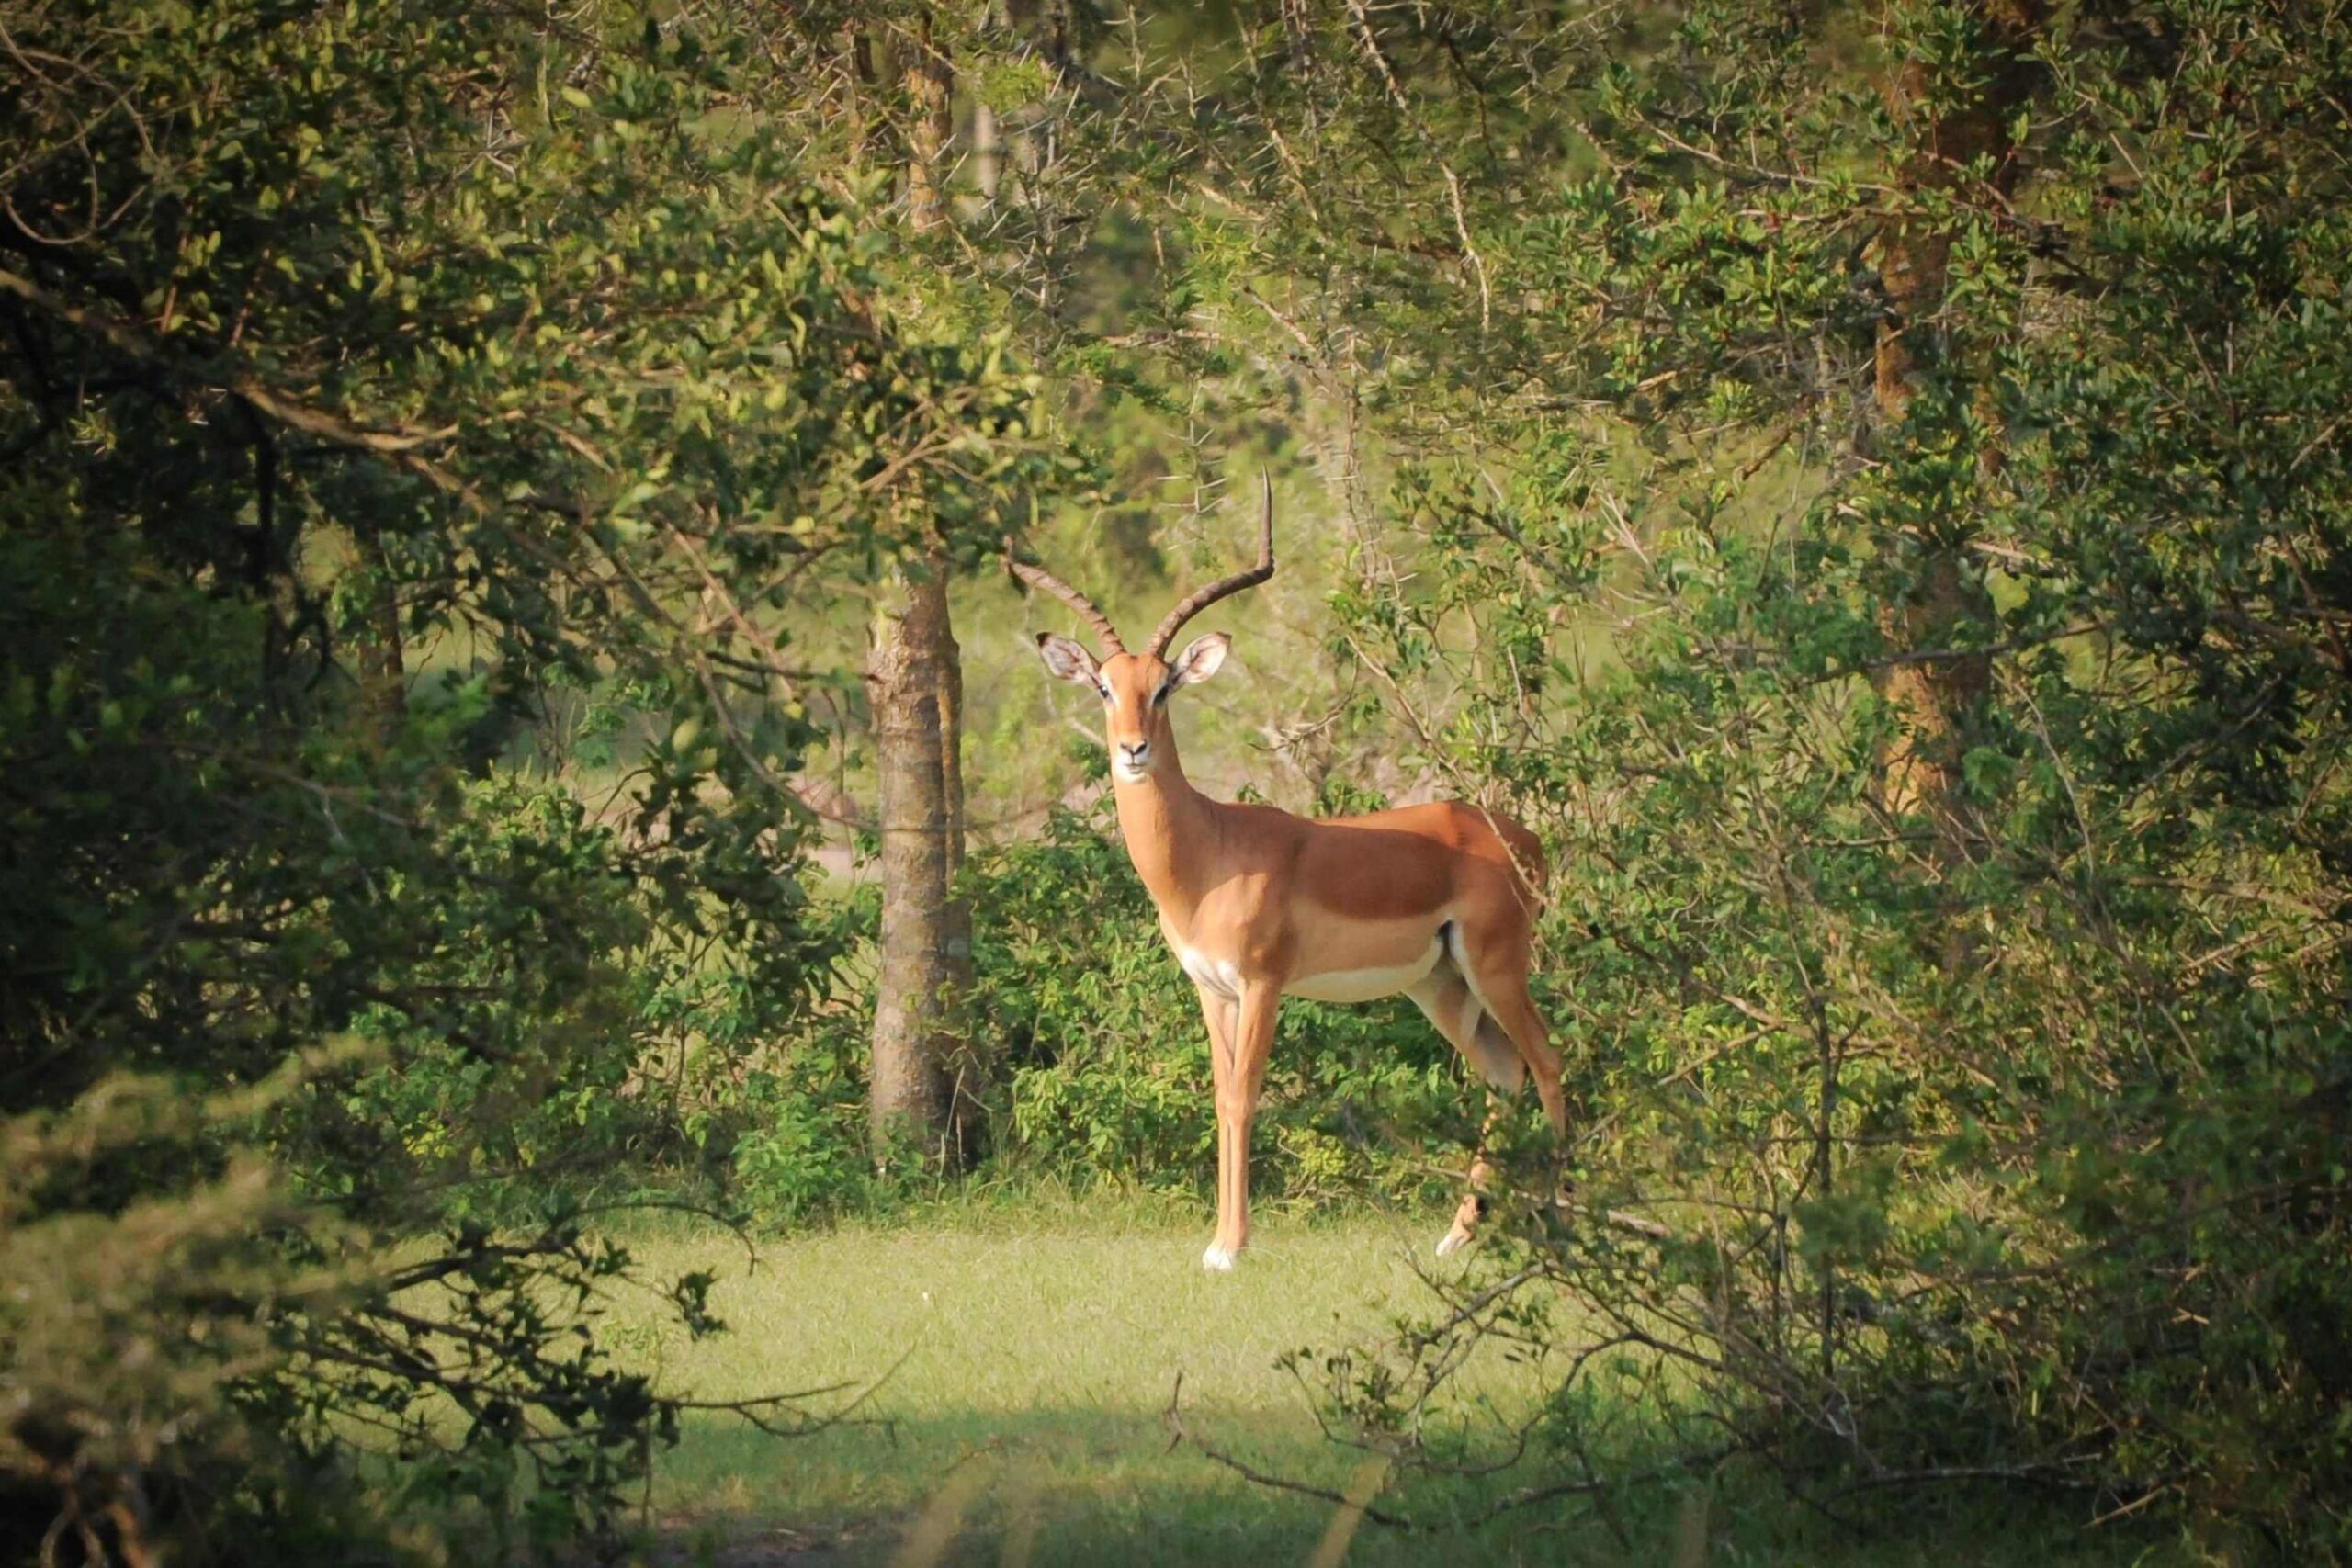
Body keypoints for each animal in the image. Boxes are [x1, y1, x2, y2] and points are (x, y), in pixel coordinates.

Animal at [1008, 477, 1568, 1270]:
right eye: (1104, 688)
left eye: (1165, 686)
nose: (1133, 750)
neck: (1209, 853)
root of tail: (1521, 836)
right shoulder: (1212, 989)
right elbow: (1218, 1098)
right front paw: (1217, 1240)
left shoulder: (1264, 982)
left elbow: (1245, 1096)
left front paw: (1231, 1247)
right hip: (1441, 984)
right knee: (1503, 1073)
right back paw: (1460, 1232)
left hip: (1497, 966)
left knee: (1545, 1062)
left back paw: (1562, 1215)